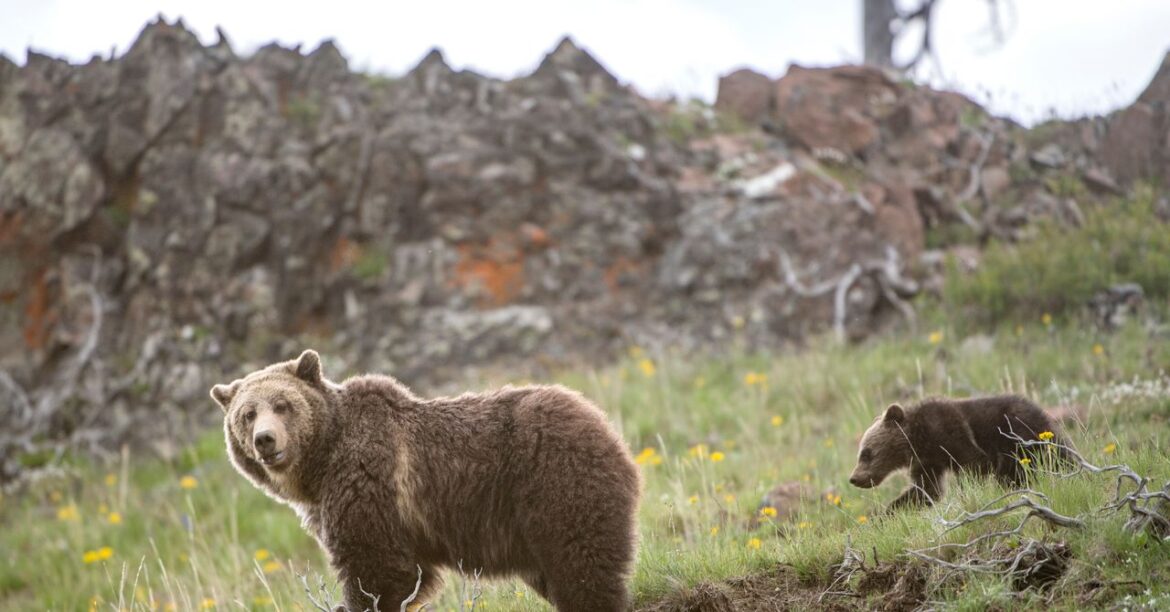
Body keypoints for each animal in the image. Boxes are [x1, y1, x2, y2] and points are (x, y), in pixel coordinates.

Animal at [210, 350, 641, 612]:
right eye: (247, 413)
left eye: (283, 404)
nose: (266, 440)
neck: (322, 463)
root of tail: (605, 425)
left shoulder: (369, 481)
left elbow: (376, 567)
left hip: (556, 482)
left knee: (581, 566)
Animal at [848, 394, 1066, 510]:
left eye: (866, 453)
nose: (854, 478)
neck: (920, 440)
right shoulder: (927, 462)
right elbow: (927, 490)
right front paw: (886, 513)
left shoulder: (951, 432)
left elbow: (975, 464)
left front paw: (968, 497)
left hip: (1018, 437)